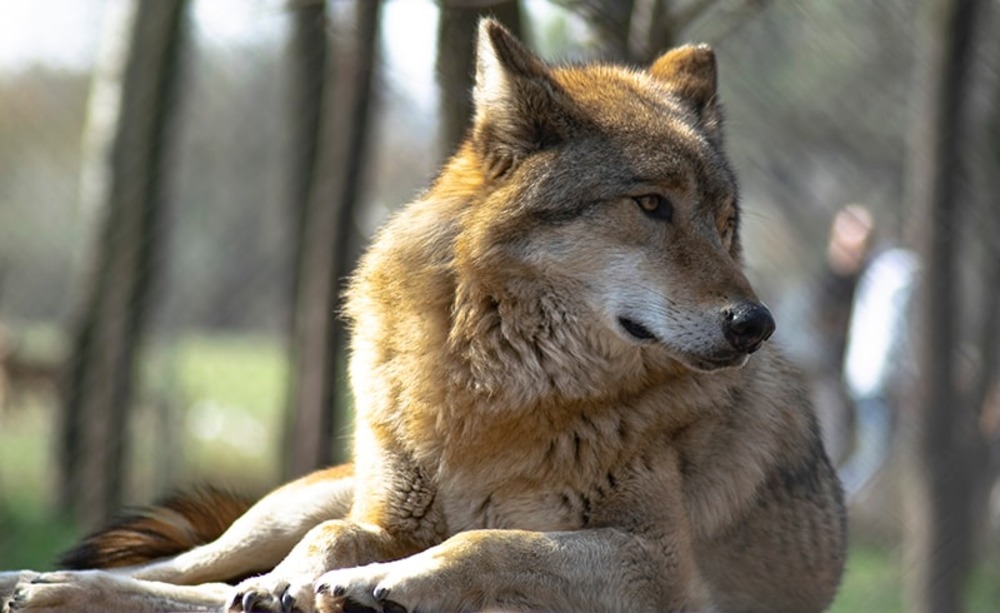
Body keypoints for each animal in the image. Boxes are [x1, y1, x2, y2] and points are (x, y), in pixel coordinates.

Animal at [0, 19, 848, 612]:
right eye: (650, 205)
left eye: (725, 221)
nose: (756, 323)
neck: (498, 392)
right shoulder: (384, 516)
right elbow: (338, 538)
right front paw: (321, 579)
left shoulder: (659, 564)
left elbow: (488, 538)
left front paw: (382, 583)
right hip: (285, 507)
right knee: (190, 570)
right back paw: (41, 582)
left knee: (204, 591)